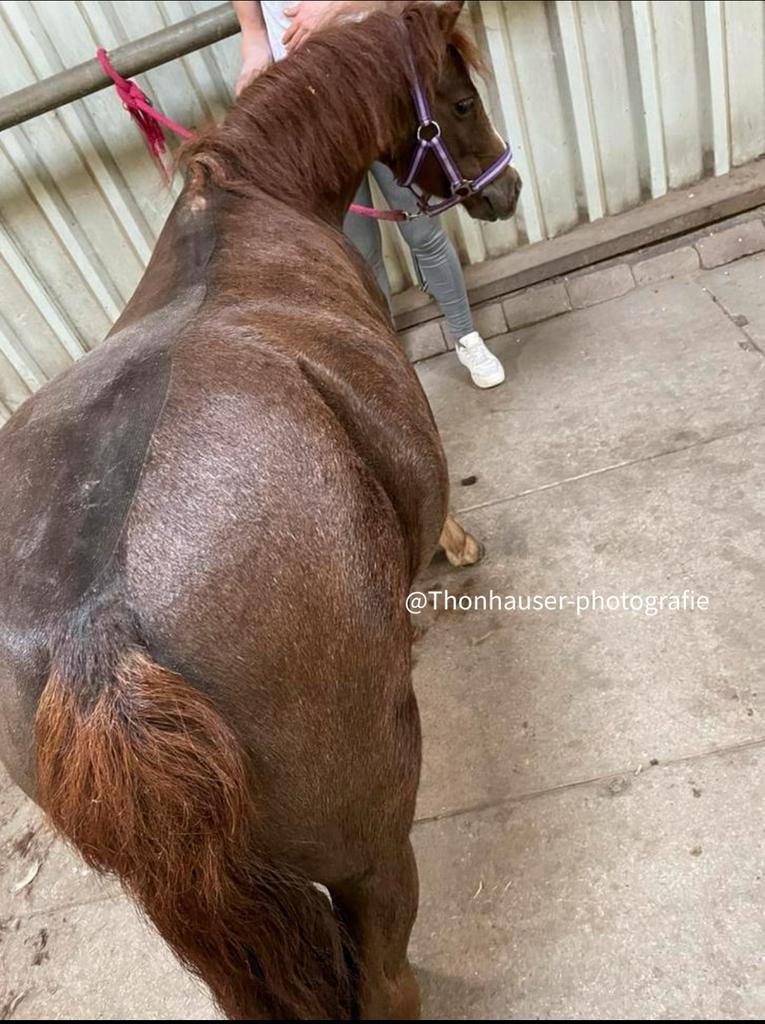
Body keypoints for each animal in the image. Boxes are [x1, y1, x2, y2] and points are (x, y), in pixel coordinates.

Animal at [0, 2, 520, 1018]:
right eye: (459, 97)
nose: (505, 189)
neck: (251, 199)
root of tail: (97, 635)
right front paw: (450, 541)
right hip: (368, 855)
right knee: (384, 979)